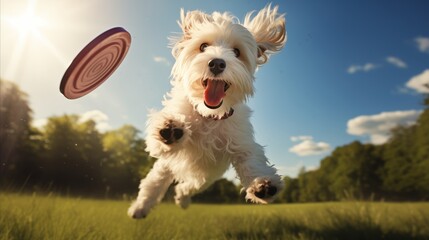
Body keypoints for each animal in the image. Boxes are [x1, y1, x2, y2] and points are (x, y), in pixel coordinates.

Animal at [129, 4, 286, 218]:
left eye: (236, 51)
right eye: (203, 47)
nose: (217, 63)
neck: (209, 116)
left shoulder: (241, 141)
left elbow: (251, 159)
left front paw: (261, 185)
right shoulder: (159, 143)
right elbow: (159, 136)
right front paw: (170, 128)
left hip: (202, 179)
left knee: (185, 187)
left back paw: (182, 200)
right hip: (165, 167)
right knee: (152, 185)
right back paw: (140, 208)